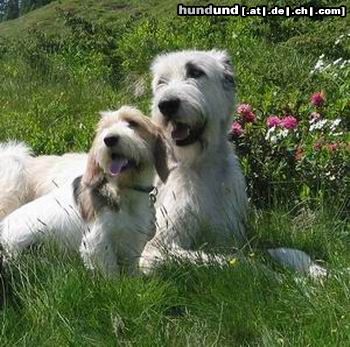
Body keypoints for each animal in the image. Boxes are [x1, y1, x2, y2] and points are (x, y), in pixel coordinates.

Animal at [0, 107, 170, 276]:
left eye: (132, 123)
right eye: (104, 128)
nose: (109, 139)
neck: (122, 188)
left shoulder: (133, 239)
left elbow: (131, 268)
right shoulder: (97, 241)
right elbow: (110, 273)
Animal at [139, 49, 249, 272]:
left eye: (196, 72)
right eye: (162, 81)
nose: (167, 105)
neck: (200, 166)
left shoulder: (227, 234)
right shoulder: (156, 247)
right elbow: (231, 261)